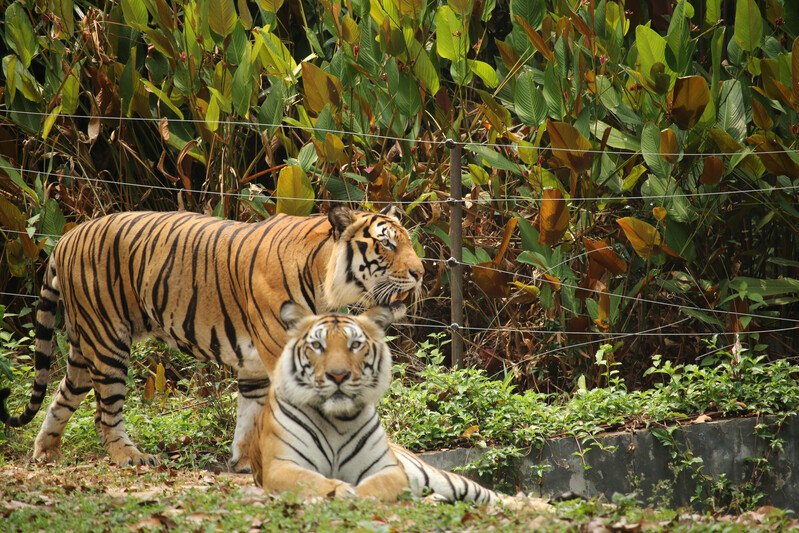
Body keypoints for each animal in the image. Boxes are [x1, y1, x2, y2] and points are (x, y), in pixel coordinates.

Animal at [0, 204, 424, 470]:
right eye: (387, 243)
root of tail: (66, 238)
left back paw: (46, 454)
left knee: (61, 395)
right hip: (107, 343)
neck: (323, 276)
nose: (421, 272)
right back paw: (130, 457)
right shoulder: (282, 355)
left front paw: (244, 462)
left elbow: (251, 418)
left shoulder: (255, 366)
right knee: (104, 415)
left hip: (84, 344)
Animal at [252, 304, 506, 502]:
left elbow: (374, 486)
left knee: (489, 495)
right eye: (317, 346)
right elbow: (314, 480)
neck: (337, 420)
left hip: (436, 476)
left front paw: (355, 496)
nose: (338, 375)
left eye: (355, 345)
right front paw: (340, 491)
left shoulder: (389, 469)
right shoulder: (280, 466)